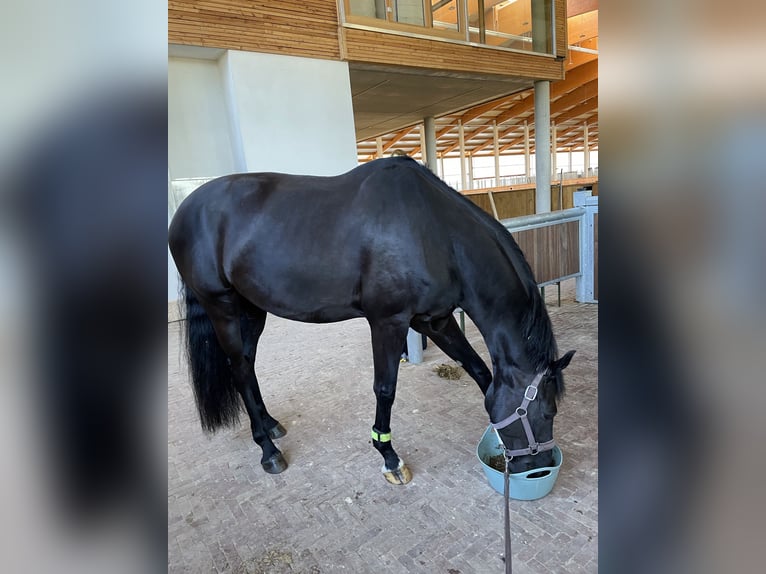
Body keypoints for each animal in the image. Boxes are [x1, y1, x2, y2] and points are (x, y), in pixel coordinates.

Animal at [170, 156, 576, 486]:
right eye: (548, 411)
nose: (536, 468)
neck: (436, 232)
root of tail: (184, 211)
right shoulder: (388, 322)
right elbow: (385, 388)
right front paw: (389, 456)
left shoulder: (434, 320)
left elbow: (480, 373)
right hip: (221, 306)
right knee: (239, 368)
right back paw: (268, 450)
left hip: (252, 310)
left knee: (248, 365)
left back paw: (269, 424)